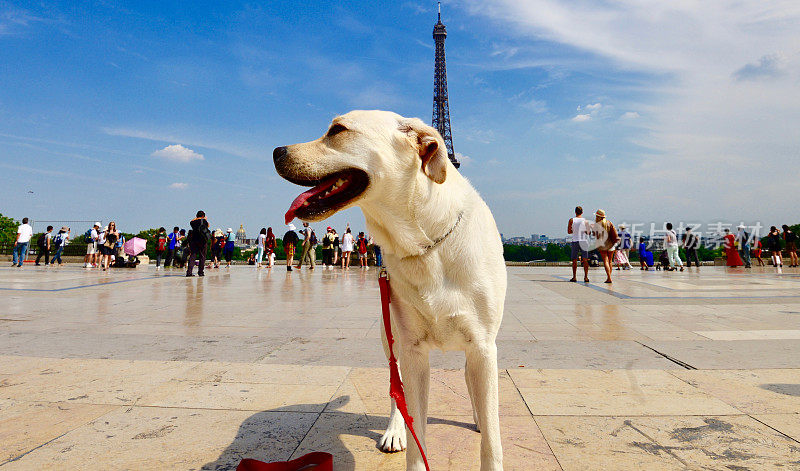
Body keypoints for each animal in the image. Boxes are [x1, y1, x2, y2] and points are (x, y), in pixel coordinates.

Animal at [276, 110, 506, 471]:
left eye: (337, 130)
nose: (276, 152)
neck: (425, 243)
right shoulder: (412, 349)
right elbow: (416, 434)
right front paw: (407, 440)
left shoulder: (483, 345)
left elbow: (492, 438)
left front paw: (486, 426)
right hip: (391, 339)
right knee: (398, 393)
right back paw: (396, 431)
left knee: (473, 385)